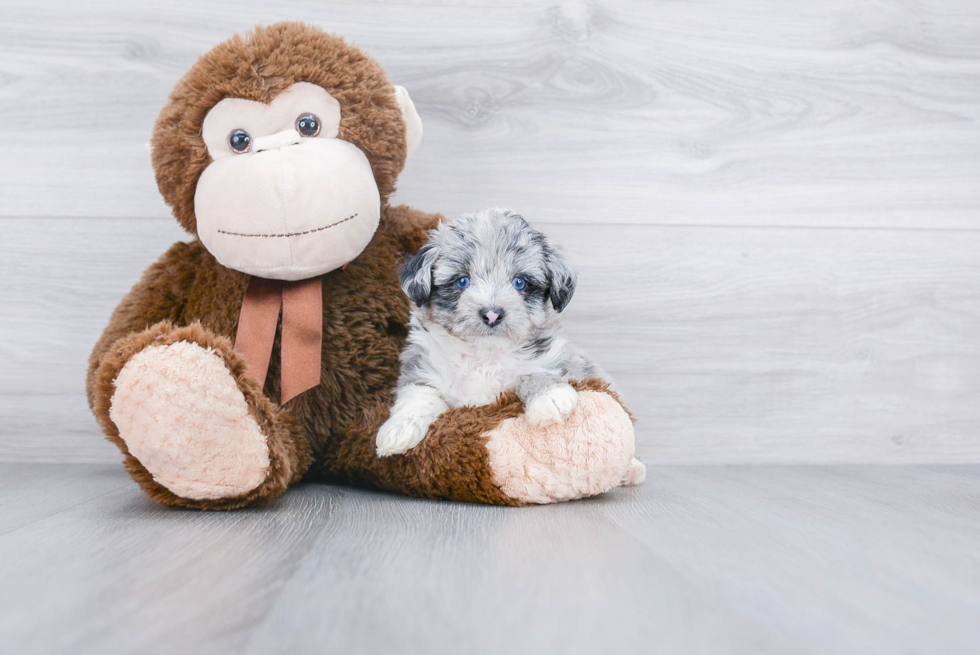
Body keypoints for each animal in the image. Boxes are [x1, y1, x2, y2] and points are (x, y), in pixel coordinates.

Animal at [376, 209, 604, 456]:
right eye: (462, 281)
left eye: (520, 282)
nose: (492, 314)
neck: (485, 353)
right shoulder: (423, 368)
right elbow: (419, 394)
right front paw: (399, 429)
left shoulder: (555, 357)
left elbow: (534, 371)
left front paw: (550, 396)